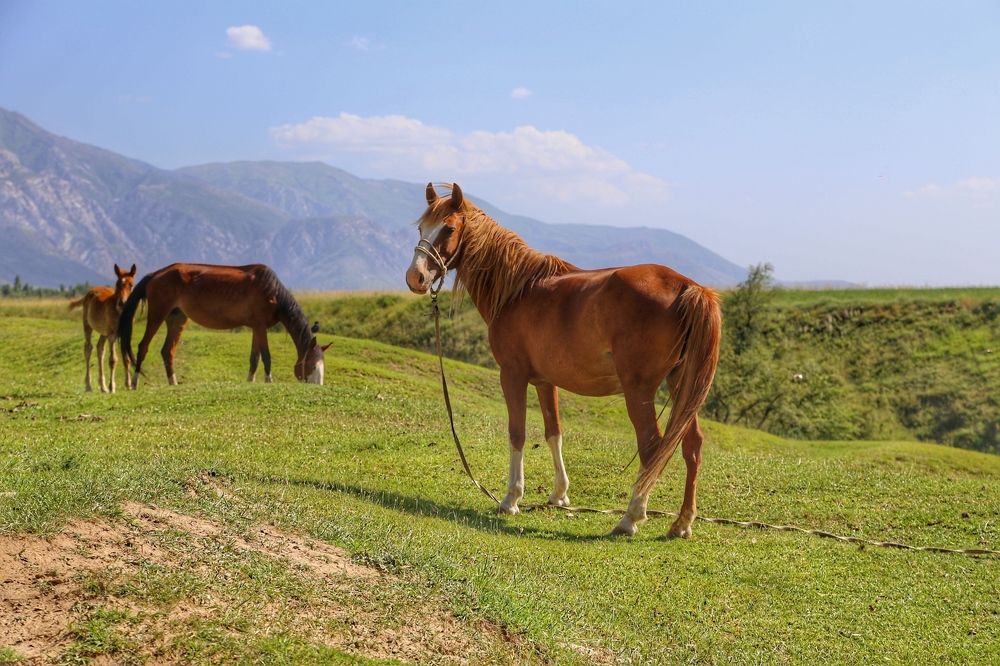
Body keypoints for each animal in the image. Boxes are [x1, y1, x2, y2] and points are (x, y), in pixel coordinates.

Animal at [68, 263, 137, 393]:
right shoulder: (112, 335)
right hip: (88, 326)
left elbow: (126, 359)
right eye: (117, 284)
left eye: (131, 285)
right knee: (88, 348)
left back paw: (103, 386)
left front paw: (129, 384)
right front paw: (112, 387)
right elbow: (113, 360)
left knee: (100, 349)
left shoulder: (125, 334)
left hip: (104, 333)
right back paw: (89, 385)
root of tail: (89, 293)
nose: (122, 303)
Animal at [118, 263, 331, 388]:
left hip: (177, 319)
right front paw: (268, 381)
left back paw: (173, 382)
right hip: (157, 314)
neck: (273, 293)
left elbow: (254, 358)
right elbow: (266, 356)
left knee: (167, 351)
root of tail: (155, 274)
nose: (318, 386)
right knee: (143, 347)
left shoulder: (256, 328)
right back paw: (134, 383)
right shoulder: (261, 326)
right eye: (312, 365)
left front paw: (251, 381)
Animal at [405, 183, 722, 538]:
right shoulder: (545, 381)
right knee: (692, 445)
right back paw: (682, 522)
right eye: (421, 228)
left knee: (652, 447)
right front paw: (559, 495)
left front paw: (511, 499)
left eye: (448, 228)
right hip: (681, 384)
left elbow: (517, 432)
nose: (415, 278)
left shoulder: (512, 375)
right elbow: (553, 432)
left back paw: (631, 517)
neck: (518, 290)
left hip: (639, 391)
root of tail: (689, 287)